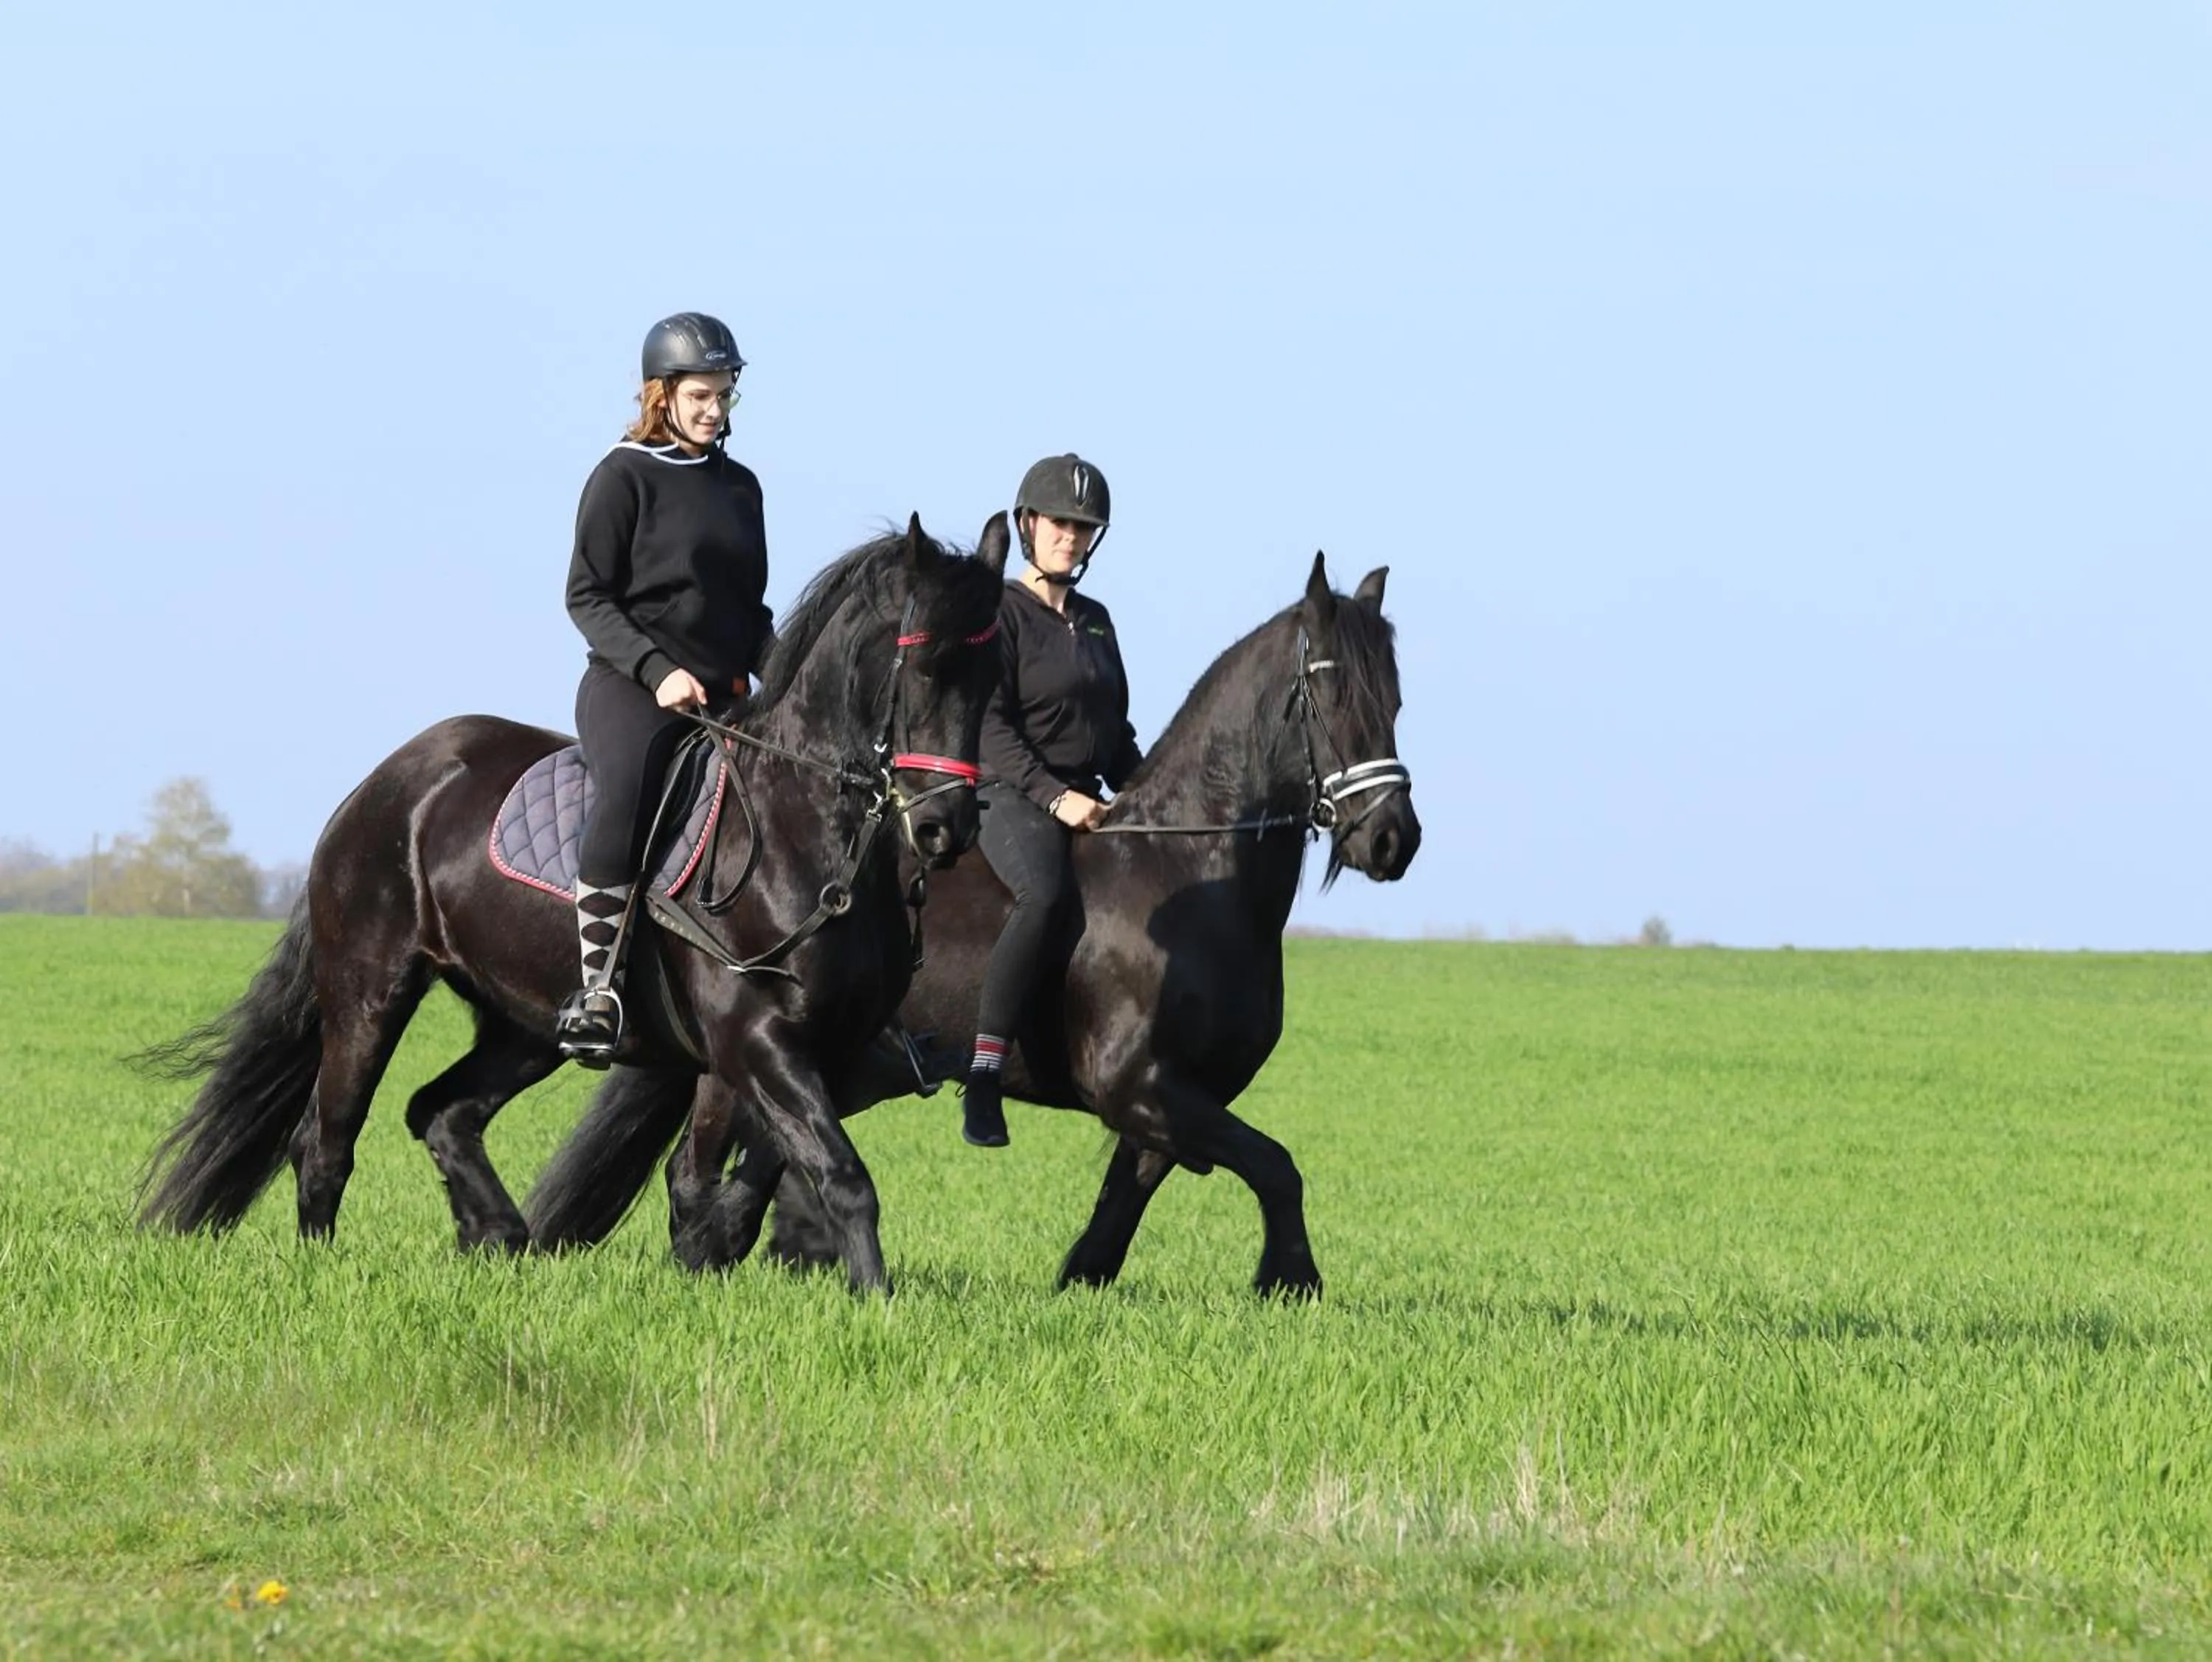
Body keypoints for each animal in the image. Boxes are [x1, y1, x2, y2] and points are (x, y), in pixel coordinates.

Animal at [139, 516, 1009, 1290]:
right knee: (327, 1138)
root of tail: (388, 780)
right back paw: (326, 1268)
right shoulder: (756, 1039)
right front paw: (876, 1300)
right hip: (370, 989)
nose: (947, 828)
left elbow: (725, 1179)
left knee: (442, 1110)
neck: (798, 831)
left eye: (992, 679)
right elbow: (837, 1173)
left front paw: (704, 1269)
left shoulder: (802, 1051)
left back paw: (499, 1236)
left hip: (523, 1023)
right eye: (925, 666)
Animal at [525, 552, 1420, 1296]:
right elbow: (1276, 1165)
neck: (1189, 877)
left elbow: (1121, 1215)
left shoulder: (1173, 1103)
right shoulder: (1139, 1086)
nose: (1392, 839)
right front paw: (1291, 1280)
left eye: (1396, 698)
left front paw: (1084, 1286)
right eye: (1333, 695)